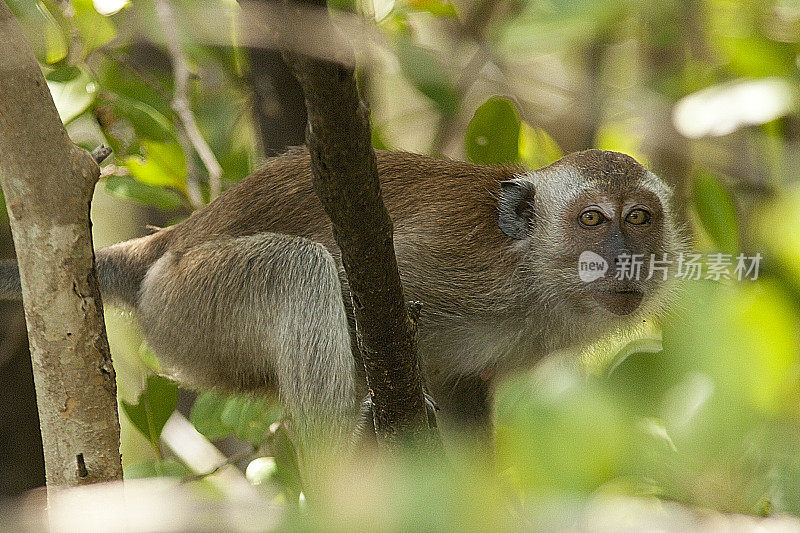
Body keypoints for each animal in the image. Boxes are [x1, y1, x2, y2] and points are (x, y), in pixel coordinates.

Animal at [3, 145, 684, 474]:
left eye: (639, 218)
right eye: (592, 219)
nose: (623, 258)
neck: (532, 272)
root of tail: (166, 244)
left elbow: (463, 396)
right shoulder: (445, 261)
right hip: (186, 303)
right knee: (300, 272)